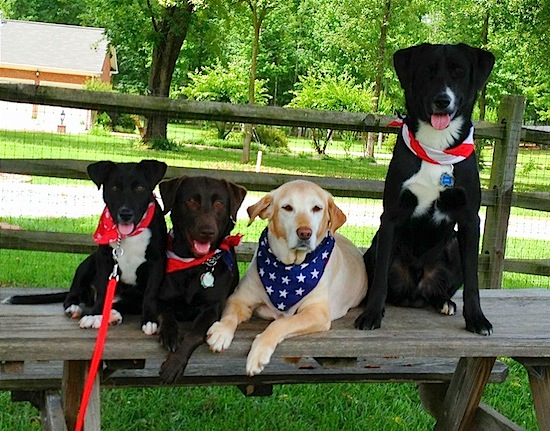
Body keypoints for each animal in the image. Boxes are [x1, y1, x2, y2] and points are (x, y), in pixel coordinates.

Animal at [4, 159, 168, 334]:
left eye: (140, 188)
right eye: (114, 188)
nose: (125, 214)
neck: (129, 235)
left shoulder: (157, 262)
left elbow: (150, 294)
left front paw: (149, 320)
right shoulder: (104, 258)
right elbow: (103, 290)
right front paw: (95, 315)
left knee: (127, 304)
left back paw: (114, 313)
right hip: (87, 263)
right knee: (72, 294)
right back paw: (75, 307)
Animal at [156, 177, 249, 384]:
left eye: (219, 203)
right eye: (191, 201)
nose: (207, 231)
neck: (194, 265)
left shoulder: (211, 308)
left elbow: (193, 335)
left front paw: (174, 363)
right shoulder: (160, 299)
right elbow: (166, 314)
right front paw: (171, 334)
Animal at [209, 181, 368, 376]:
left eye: (317, 208)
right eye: (287, 207)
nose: (305, 233)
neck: (289, 268)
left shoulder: (317, 313)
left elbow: (281, 324)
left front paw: (258, 352)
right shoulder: (239, 299)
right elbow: (230, 316)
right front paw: (221, 332)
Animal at [356, 43, 498, 338]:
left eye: (458, 72)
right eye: (427, 72)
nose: (442, 100)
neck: (436, 148)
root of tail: (414, 295)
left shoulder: (470, 219)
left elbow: (473, 282)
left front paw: (477, 319)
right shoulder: (391, 216)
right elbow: (380, 279)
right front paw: (371, 314)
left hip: (453, 245)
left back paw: (444, 301)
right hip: (376, 242)